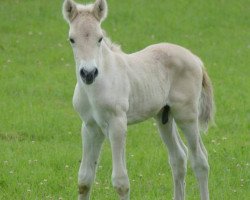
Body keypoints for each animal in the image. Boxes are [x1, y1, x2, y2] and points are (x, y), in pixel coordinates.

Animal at [62, 0, 215, 199]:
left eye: (100, 38)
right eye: (72, 39)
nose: (88, 73)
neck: (97, 86)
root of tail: (196, 59)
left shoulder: (117, 124)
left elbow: (121, 182)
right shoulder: (90, 127)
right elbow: (84, 180)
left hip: (186, 116)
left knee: (200, 161)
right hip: (164, 117)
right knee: (179, 158)